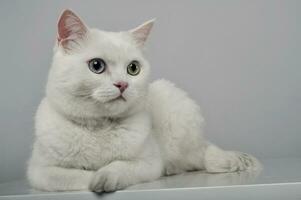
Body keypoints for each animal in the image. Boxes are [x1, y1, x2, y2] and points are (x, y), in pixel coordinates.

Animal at [27, 9, 260, 192]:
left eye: (133, 68)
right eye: (96, 65)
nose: (122, 84)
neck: (100, 128)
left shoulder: (148, 162)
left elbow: (119, 166)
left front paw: (104, 177)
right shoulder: (39, 171)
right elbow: (73, 176)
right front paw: (94, 178)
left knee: (197, 158)